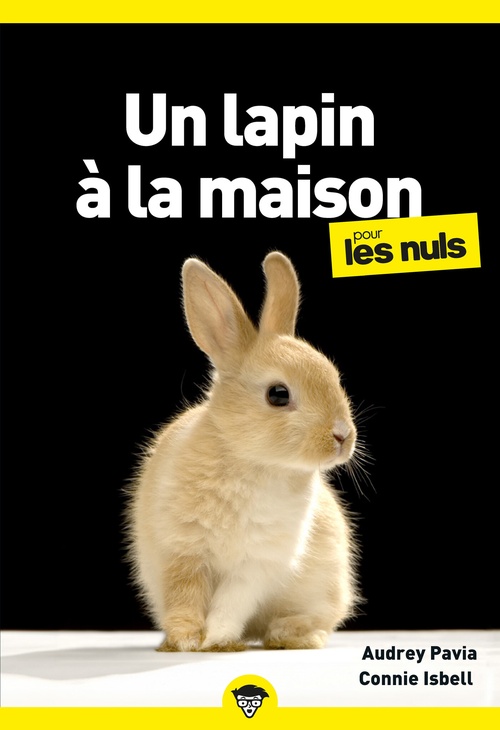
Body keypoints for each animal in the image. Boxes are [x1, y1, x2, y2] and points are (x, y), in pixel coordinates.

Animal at [126, 251, 360, 651]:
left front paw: (215, 639)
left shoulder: (255, 566)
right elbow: (185, 597)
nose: (343, 436)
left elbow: (230, 604)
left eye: (333, 377)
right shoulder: (184, 552)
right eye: (278, 394)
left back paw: (290, 635)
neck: (251, 461)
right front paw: (186, 641)